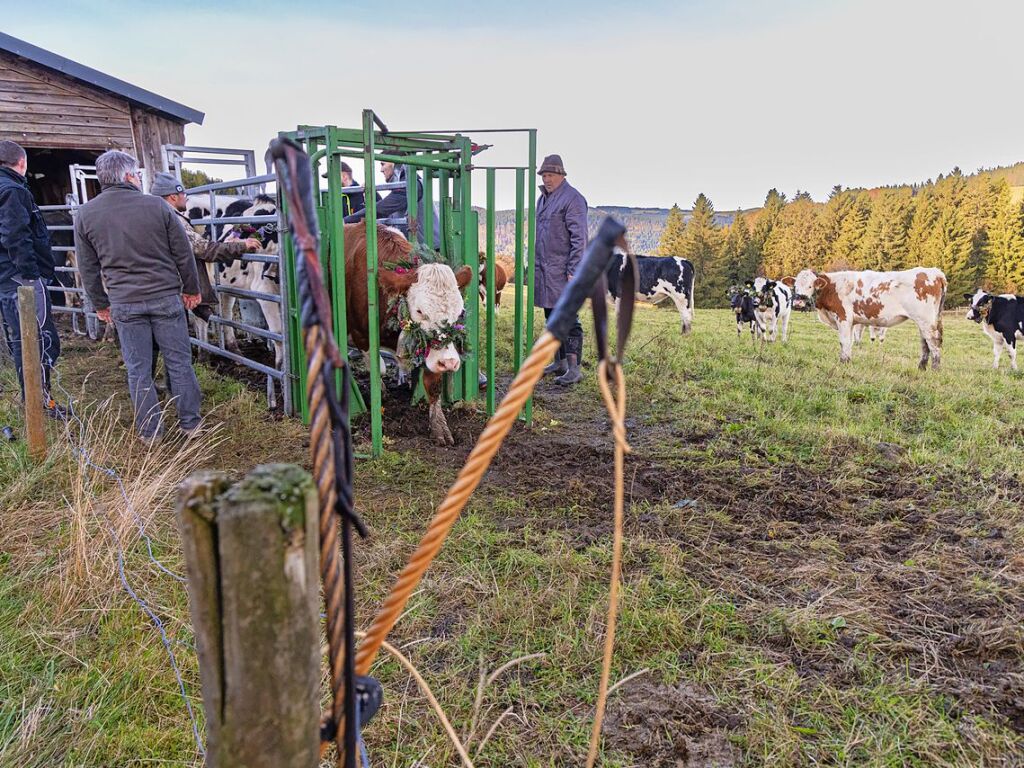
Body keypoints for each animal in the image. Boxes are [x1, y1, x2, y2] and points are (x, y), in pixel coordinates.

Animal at [344, 219, 471, 448]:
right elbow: (378, 368)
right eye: (420, 311)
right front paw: (380, 394)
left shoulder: (430, 350)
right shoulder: (361, 335)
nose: (449, 362)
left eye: (460, 311)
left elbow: (433, 384)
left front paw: (439, 427)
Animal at [790, 268, 950, 370]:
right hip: (925, 320)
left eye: (810, 285)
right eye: (795, 286)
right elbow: (850, 342)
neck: (831, 287)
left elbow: (844, 341)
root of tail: (935, 272)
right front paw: (847, 360)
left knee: (933, 342)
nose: (798, 302)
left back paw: (935, 369)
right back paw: (921, 367)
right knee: (924, 343)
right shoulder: (851, 322)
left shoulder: (843, 317)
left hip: (926, 320)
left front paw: (843, 363)